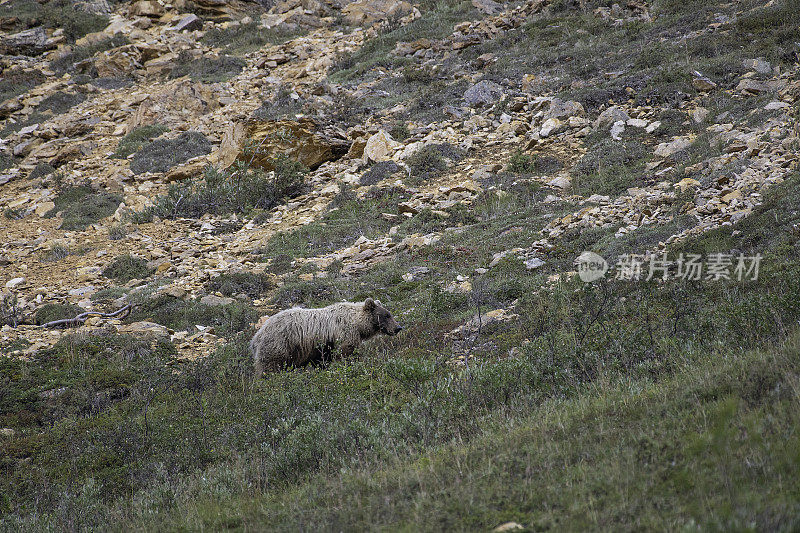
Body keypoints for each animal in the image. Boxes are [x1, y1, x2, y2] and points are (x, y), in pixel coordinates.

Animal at [248, 296, 400, 374]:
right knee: (270, 367)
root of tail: (256, 337)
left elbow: (323, 361)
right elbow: (346, 353)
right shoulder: (344, 334)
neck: (357, 324)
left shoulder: (323, 348)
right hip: (279, 345)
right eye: (386, 315)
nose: (398, 327)